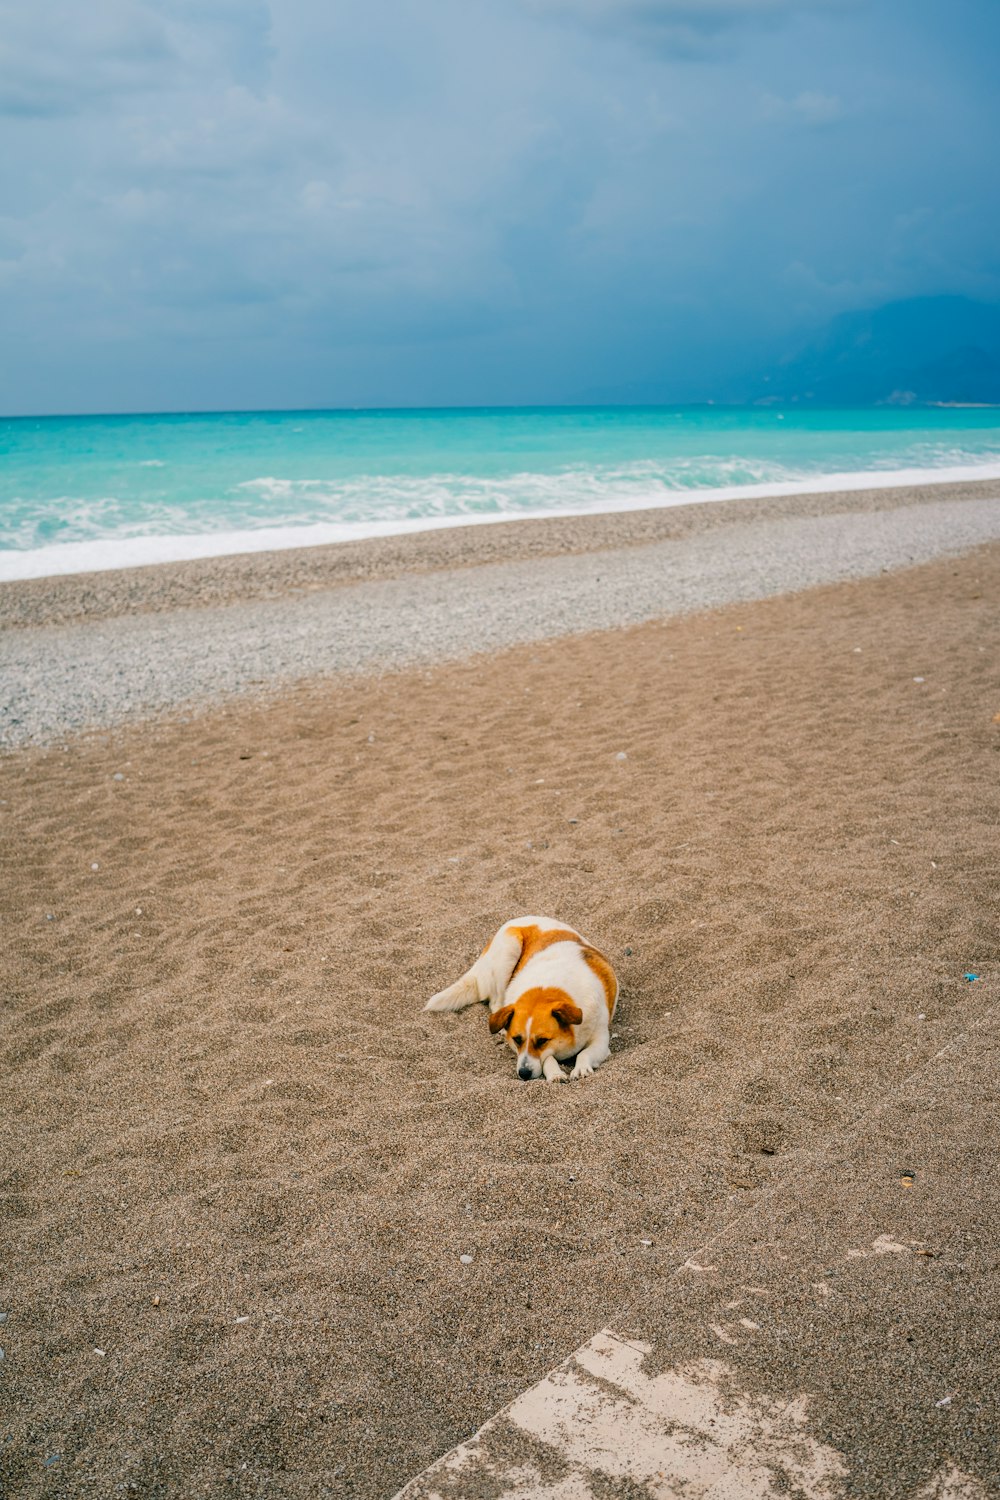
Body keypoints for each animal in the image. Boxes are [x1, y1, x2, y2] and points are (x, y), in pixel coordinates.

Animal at [425, 906, 617, 1086]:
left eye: (542, 1041)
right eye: (517, 1039)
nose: (523, 1073)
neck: (546, 988)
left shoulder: (601, 1040)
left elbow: (584, 1053)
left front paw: (581, 1067)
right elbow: (548, 1059)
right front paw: (555, 1073)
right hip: (508, 948)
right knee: (496, 1002)